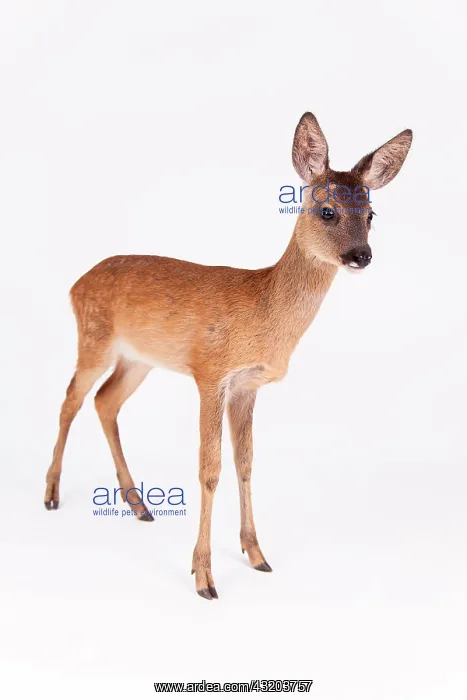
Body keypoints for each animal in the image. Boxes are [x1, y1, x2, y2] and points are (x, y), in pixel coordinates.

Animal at [44, 112, 412, 599]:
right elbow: (210, 468)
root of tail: (75, 284)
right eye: (327, 211)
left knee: (105, 402)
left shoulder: (247, 385)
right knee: (70, 399)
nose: (361, 255)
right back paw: (52, 494)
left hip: (138, 359)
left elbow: (246, 463)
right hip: (93, 338)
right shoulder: (210, 373)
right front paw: (204, 577)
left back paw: (139, 505)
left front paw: (256, 555)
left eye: (371, 215)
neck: (263, 312)